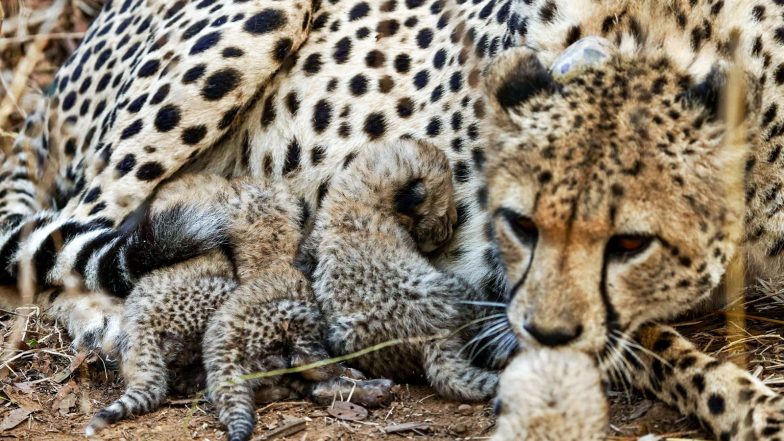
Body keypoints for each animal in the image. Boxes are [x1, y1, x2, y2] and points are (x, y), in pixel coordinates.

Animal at [298, 138, 498, 401]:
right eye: (447, 208)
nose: (452, 225)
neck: (360, 197)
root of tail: (433, 337)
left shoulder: (313, 246)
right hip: (455, 288)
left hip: (342, 334)